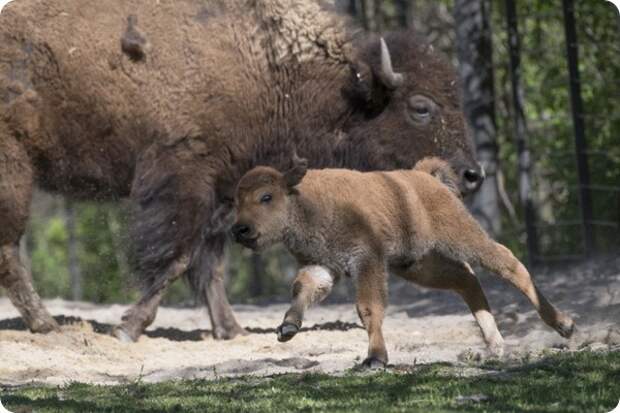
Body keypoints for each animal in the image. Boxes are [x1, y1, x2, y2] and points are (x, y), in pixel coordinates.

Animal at [0, 0, 482, 340]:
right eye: (421, 106)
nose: (471, 175)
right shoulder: (186, 178)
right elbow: (177, 257)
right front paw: (128, 327)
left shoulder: (225, 193)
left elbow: (209, 264)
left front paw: (229, 330)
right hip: (16, 168)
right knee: (10, 248)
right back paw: (47, 325)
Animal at [234, 156, 576, 366]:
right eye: (237, 199)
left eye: (266, 197)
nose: (240, 229)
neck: (305, 202)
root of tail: (424, 177)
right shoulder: (323, 265)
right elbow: (302, 289)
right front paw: (287, 327)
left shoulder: (367, 260)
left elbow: (369, 307)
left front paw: (374, 359)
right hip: (416, 264)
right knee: (466, 280)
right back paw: (496, 346)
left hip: (462, 237)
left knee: (507, 263)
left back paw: (564, 325)